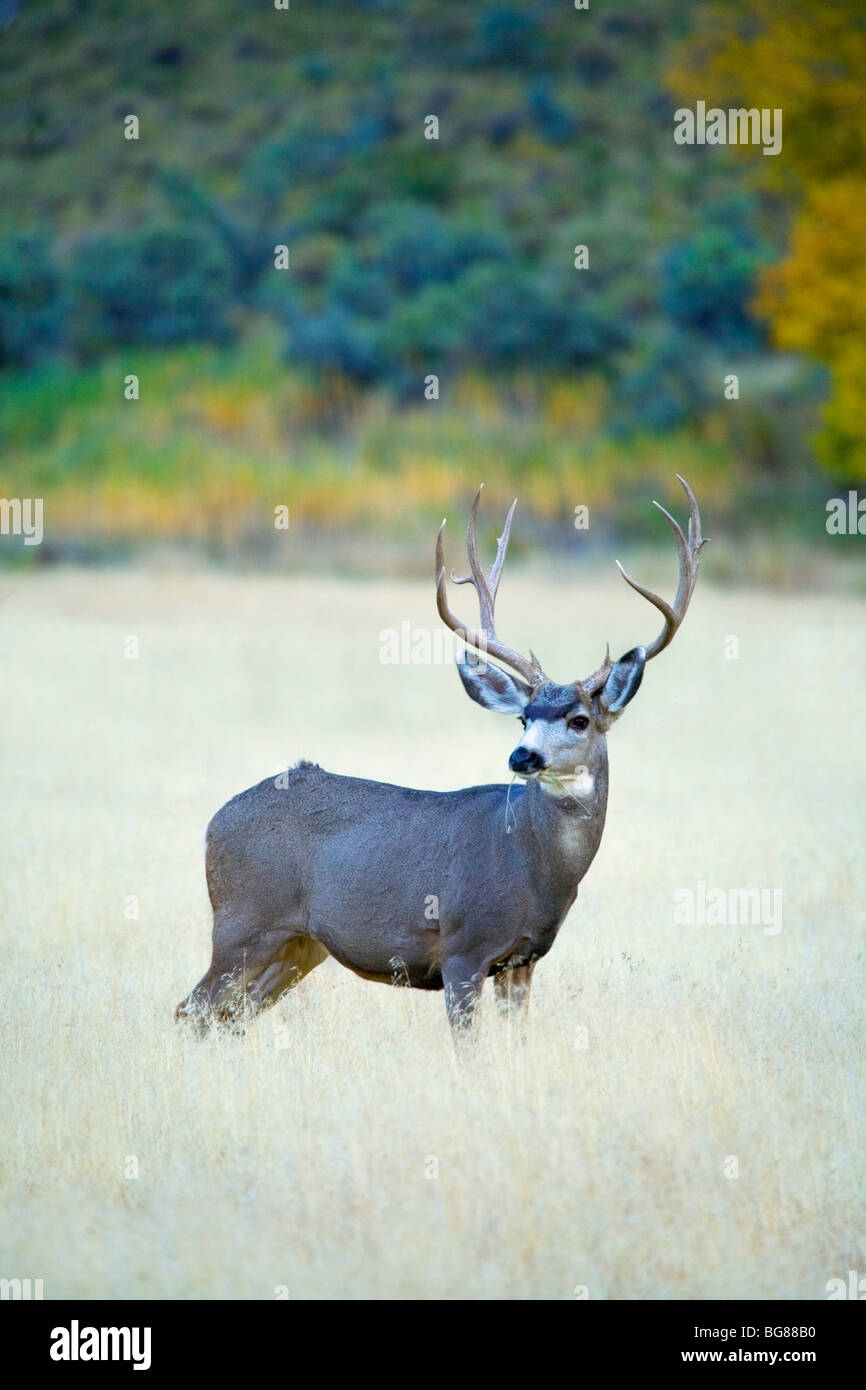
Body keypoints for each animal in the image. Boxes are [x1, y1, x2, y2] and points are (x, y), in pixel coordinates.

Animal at [174, 478, 706, 1034]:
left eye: (579, 719)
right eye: (524, 717)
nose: (522, 756)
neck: (533, 863)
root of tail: (213, 823)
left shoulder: (523, 958)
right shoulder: (461, 946)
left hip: (298, 946)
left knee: (225, 1017)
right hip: (243, 922)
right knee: (190, 1009)